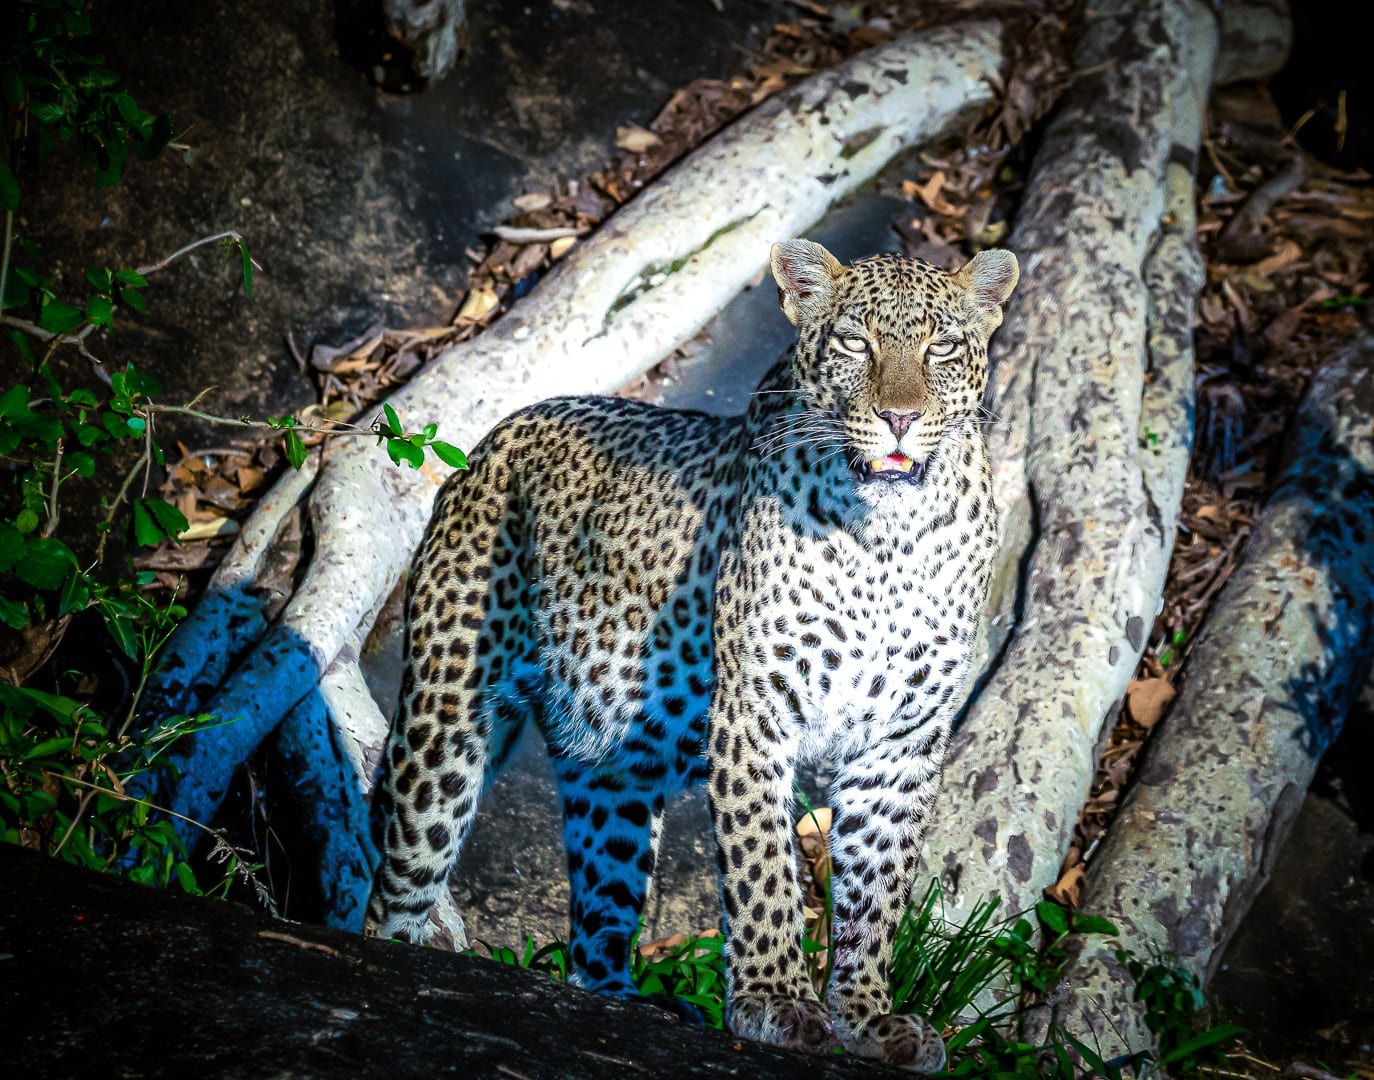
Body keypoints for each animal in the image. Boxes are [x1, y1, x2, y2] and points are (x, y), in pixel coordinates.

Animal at [364, 238, 1018, 1070]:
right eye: (854, 344)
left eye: (941, 348)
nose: (899, 418)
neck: (887, 540)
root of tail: (493, 435)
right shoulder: (756, 711)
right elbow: (763, 868)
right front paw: (777, 1003)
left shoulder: (899, 741)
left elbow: (876, 891)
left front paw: (869, 1018)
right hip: (445, 721)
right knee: (397, 881)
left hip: (612, 775)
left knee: (596, 928)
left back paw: (630, 1003)